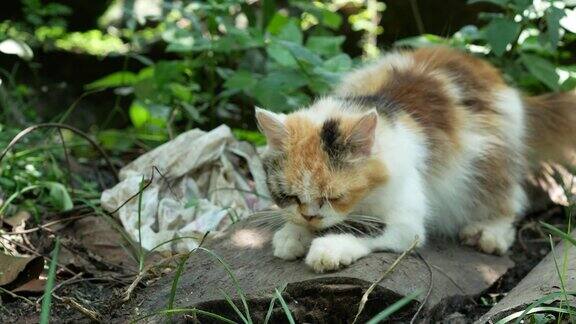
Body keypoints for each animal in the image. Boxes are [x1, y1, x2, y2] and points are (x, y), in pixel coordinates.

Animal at [255, 46, 576, 272]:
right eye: (288, 195)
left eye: (335, 197)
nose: (310, 216)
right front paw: (293, 234)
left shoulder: (406, 224)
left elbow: (368, 233)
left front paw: (328, 249)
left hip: (489, 162)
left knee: (510, 199)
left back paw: (490, 234)